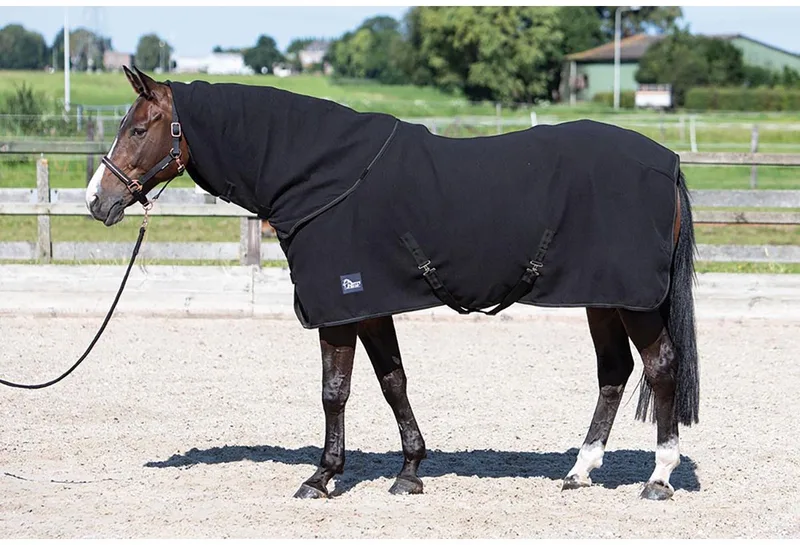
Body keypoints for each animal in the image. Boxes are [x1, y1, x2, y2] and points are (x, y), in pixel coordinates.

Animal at [86, 66, 699, 501]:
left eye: (137, 129)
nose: (97, 200)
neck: (321, 174)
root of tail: (667, 162)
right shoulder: (371, 306)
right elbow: (392, 381)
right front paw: (409, 471)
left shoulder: (339, 308)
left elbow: (335, 391)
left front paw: (321, 477)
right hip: (604, 298)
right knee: (614, 373)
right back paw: (579, 470)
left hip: (633, 302)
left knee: (661, 367)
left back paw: (658, 477)